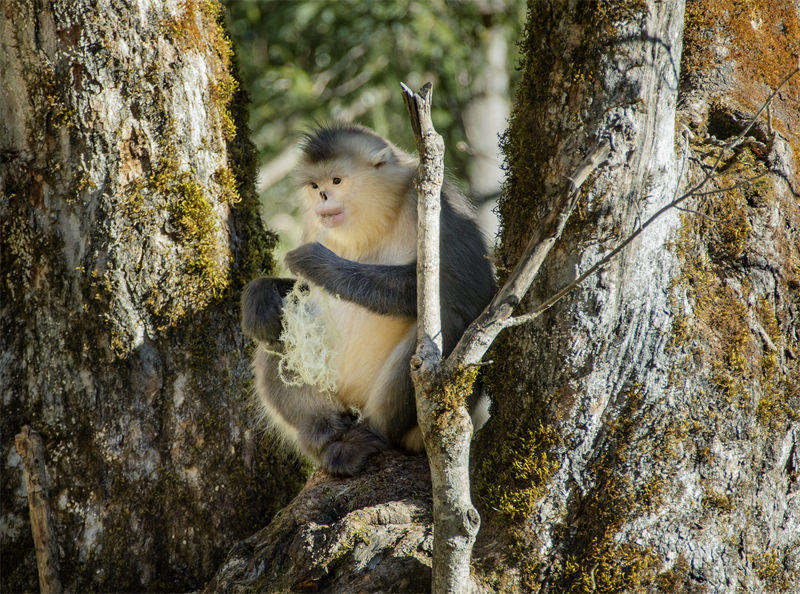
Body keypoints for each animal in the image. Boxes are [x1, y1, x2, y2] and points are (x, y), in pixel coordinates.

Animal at [241, 122, 496, 474]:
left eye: (337, 181)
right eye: (315, 185)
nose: (323, 195)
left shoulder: (441, 207)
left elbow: (468, 291)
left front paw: (320, 263)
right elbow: (295, 296)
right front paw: (259, 295)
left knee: (448, 319)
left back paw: (374, 436)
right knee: (275, 334)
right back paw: (328, 436)